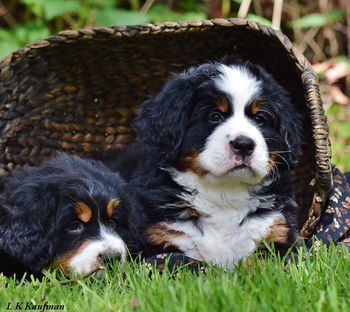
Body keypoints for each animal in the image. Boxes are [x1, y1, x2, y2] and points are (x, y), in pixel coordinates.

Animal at [103, 59, 300, 270]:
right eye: (215, 116)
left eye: (259, 118)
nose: (244, 145)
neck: (224, 195)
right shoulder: (153, 244)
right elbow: (189, 263)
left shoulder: (280, 235)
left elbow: (264, 265)